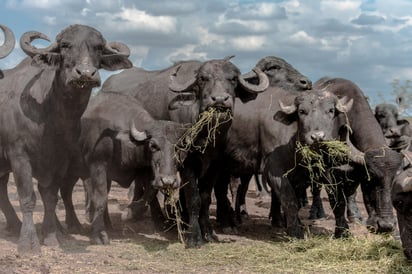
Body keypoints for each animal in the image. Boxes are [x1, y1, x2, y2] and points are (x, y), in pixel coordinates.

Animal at [0, 24, 132, 254]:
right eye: (65, 45)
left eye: (98, 47)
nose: (86, 74)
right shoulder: (18, 156)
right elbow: (28, 198)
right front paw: (29, 243)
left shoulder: (61, 160)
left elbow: (51, 196)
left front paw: (51, 235)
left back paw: (16, 224)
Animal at [98, 55, 268, 246]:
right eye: (203, 79)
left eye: (232, 79)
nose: (219, 100)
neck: (204, 134)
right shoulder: (187, 163)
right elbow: (192, 198)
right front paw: (194, 236)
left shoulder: (215, 165)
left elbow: (205, 198)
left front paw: (208, 232)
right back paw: (159, 221)